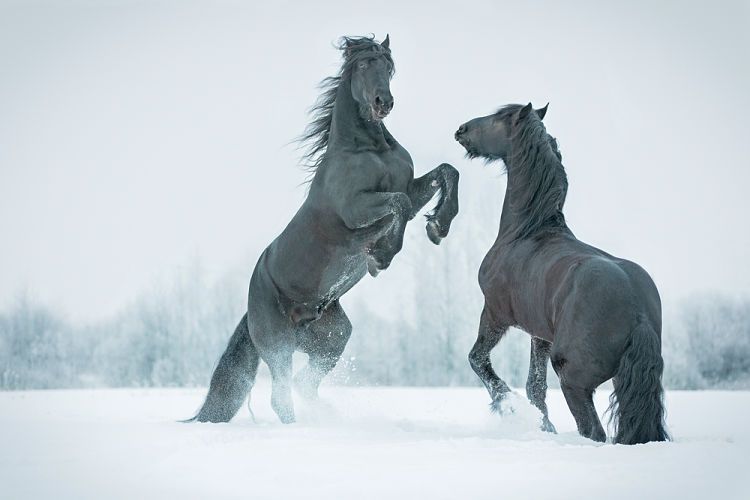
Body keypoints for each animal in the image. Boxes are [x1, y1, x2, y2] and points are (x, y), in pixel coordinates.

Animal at [189, 35, 459, 424]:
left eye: (389, 66)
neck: (368, 148)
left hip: (333, 338)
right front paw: (380, 257)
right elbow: (400, 204)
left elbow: (447, 172)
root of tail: (250, 307)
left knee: (303, 386)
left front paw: (438, 226)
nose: (383, 102)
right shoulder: (357, 208)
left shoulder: (410, 187)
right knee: (282, 396)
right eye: (362, 65)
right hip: (279, 345)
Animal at [454, 103, 669, 444]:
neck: (526, 231)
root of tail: (637, 312)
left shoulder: (495, 314)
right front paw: (544, 426)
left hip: (574, 379)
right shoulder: (539, 335)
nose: (461, 130)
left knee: (593, 431)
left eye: (499, 118)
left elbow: (478, 360)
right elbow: (535, 387)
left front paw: (507, 406)